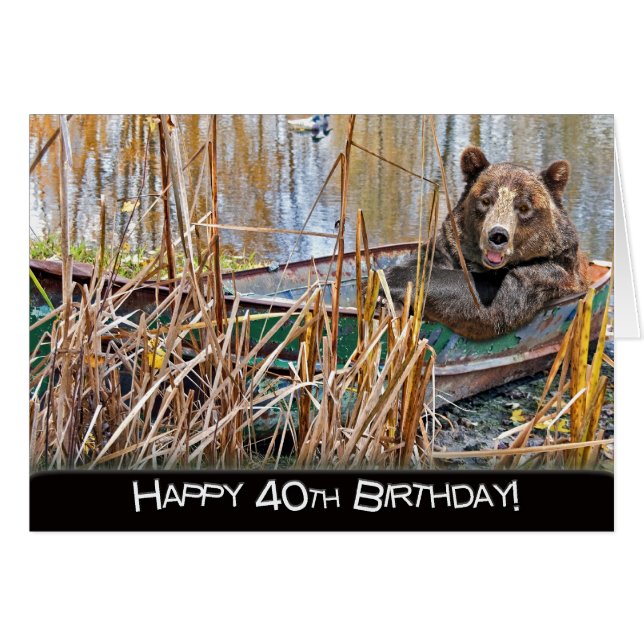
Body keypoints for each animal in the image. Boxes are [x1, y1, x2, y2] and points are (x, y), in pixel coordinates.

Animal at [379, 146, 589, 340]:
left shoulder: (548, 272)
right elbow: (424, 261)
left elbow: (490, 302)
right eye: (486, 200)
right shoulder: (450, 247)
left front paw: (391, 277)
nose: (497, 236)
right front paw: (387, 298)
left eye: (524, 207)